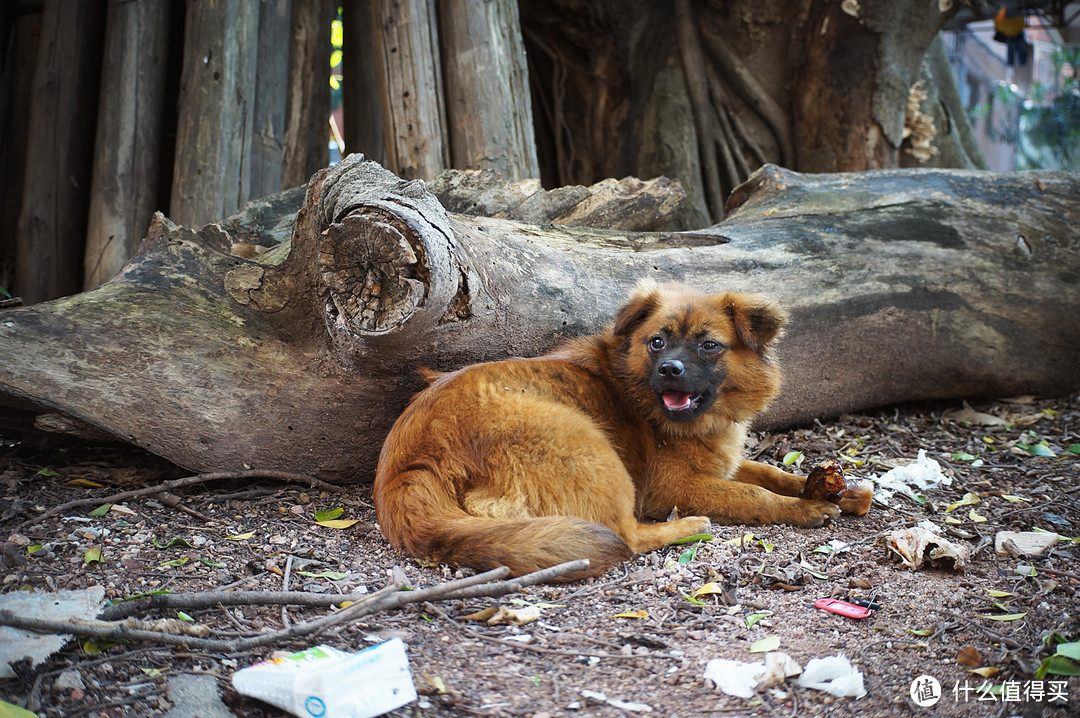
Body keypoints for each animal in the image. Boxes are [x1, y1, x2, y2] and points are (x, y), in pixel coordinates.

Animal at [375, 280, 846, 578]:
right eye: (657, 341)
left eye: (709, 345)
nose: (669, 369)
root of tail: (412, 455)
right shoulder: (673, 485)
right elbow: (751, 493)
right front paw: (803, 508)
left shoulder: (721, 463)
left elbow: (769, 472)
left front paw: (830, 487)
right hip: (590, 445)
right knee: (627, 536)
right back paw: (689, 527)